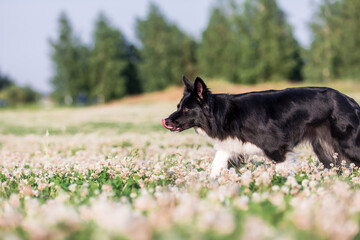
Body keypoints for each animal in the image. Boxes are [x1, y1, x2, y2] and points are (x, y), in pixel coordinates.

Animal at [162, 76, 360, 177]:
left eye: (186, 108)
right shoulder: (228, 149)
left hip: (348, 144)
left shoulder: (277, 147)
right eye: (178, 106)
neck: (223, 113)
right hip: (325, 149)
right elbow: (215, 169)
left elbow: (283, 171)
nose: (166, 120)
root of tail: (348, 99)